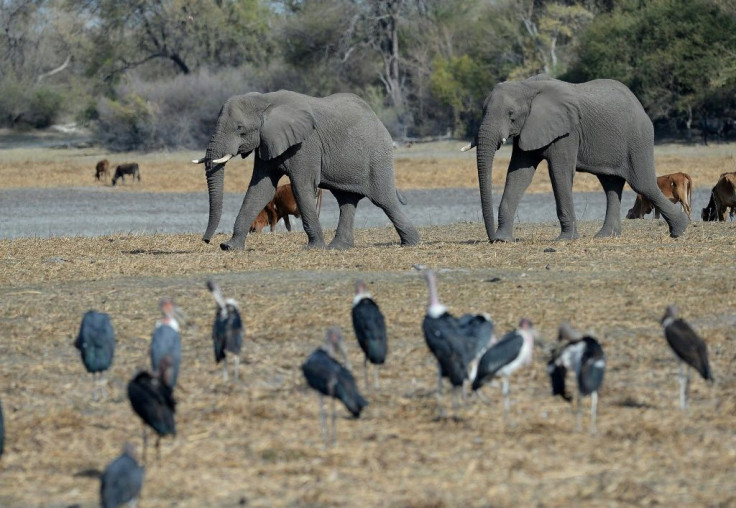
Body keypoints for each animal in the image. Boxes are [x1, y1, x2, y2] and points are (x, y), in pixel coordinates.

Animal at [191, 91, 420, 252]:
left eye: (240, 129)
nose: (207, 240)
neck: (265, 100)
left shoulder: (306, 144)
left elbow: (301, 187)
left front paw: (313, 248)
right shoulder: (267, 142)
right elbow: (260, 189)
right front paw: (230, 247)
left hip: (378, 157)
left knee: (385, 200)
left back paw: (411, 243)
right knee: (346, 201)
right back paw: (338, 247)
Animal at [466, 74, 688, 243]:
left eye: (511, 115)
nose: (490, 237)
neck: (528, 86)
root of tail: (640, 107)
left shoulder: (567, 132)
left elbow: (559, 172)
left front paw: (565, 240)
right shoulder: (529, 129)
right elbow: (519, 174)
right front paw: (503, 240)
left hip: (638, 139)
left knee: (643, 184)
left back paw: (680, 229)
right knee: (611, 185)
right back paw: (605, 236)